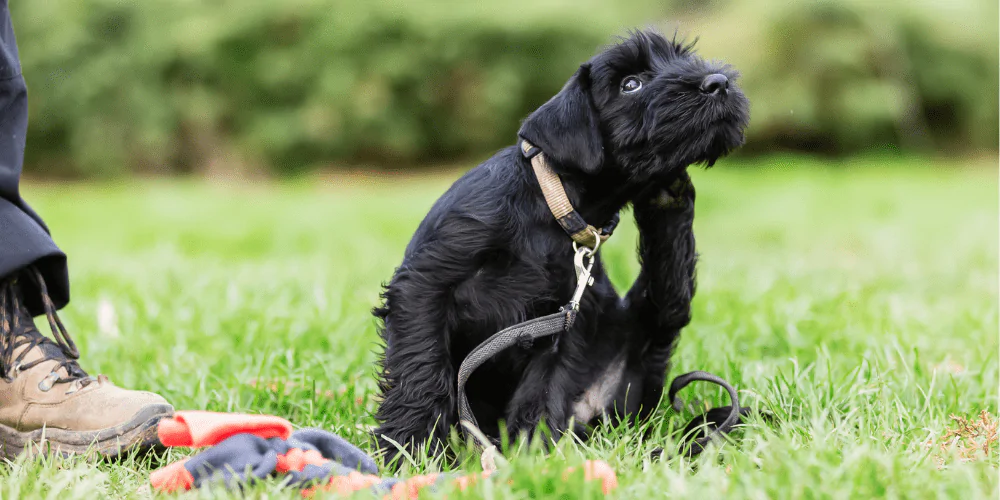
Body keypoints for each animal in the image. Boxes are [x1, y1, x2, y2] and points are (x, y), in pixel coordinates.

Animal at [372, 29, 748, 460]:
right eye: (630, 84)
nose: (717, 83)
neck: (551, 207)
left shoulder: (568, 318)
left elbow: (544, 385)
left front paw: (529, 453)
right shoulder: (427, 283)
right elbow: (422, 365)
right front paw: (409, 446)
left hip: (646, 332)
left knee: (670, 294)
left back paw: (669, 193)